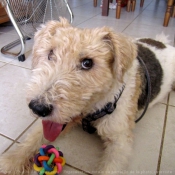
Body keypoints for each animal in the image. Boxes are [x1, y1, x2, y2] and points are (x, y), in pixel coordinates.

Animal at [0, 18, 175, 175]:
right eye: (50, 53)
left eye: (87, 63)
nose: (38, 108)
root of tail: (164, 44)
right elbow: (33, 138)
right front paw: (10, 162)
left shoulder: (120, 141)